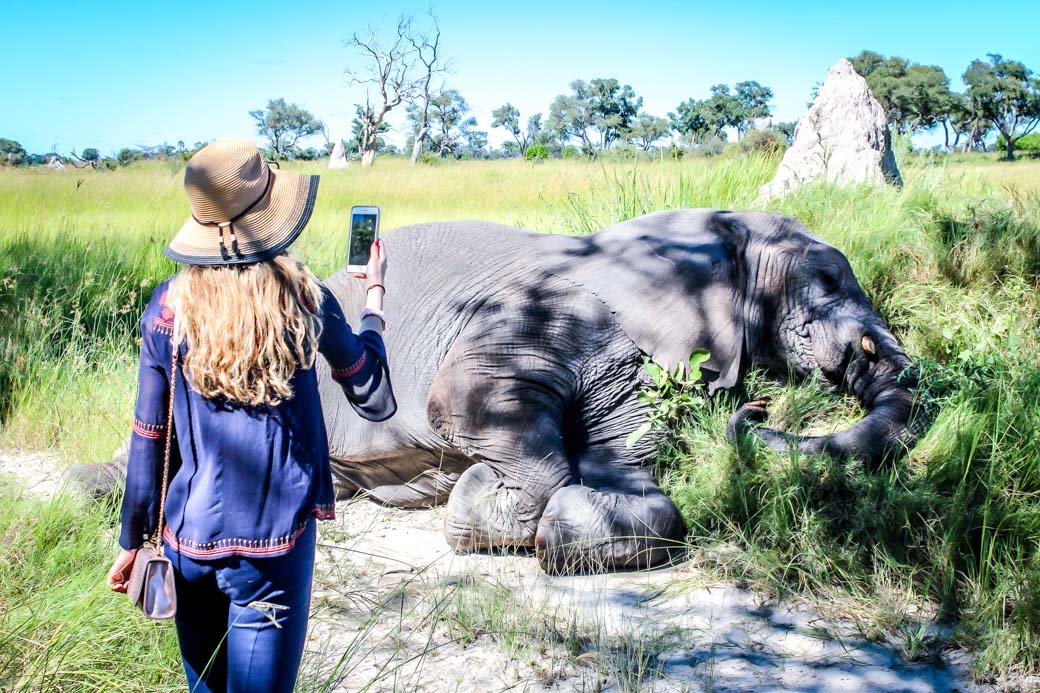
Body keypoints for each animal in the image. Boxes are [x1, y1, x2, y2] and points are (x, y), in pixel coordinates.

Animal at [73, 209, 919, 570]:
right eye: (827, 278)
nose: (759, 406)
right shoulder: (543, 309)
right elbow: (463, 394)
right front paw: (481, 516)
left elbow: (636, 455)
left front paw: (580, 537)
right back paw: (92, 491)